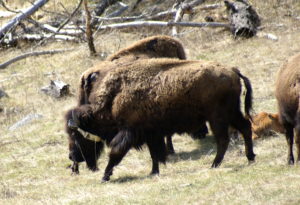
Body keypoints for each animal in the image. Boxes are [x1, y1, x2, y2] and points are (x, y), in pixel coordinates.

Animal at [67, 57, 255, 181]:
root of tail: (233, 71)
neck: (114, 97)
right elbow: (154, 154)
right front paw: (153, 172)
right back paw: (250, 158)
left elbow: (116, 152)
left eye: (76, 134)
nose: (71, 156)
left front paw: (105, 176)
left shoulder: (129, 132)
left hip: (218, 118)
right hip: (231, 113)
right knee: (245, 127)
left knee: (223, 139)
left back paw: (215, 164)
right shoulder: (151, 134)